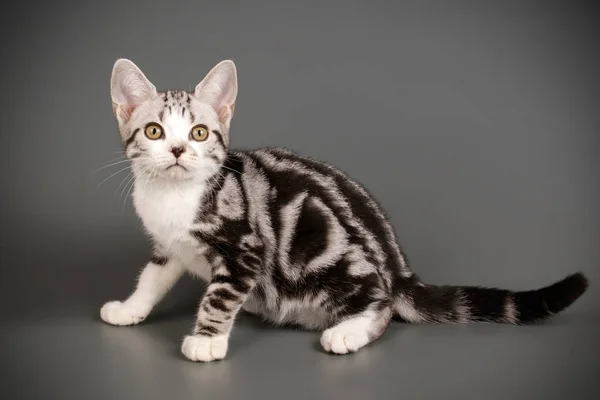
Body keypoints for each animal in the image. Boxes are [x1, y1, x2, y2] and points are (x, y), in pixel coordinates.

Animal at [101, 59, 588, 362]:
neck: (173, 196)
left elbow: (219, 297)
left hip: (328, 255)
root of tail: (397, 267)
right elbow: (152, 278)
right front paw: (130, 308)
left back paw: (348, 331)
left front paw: (207, 341)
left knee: (383, 304)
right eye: (154, 131)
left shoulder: (244, 249)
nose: (179, 150)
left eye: (200, 132)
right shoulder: (169, 246)